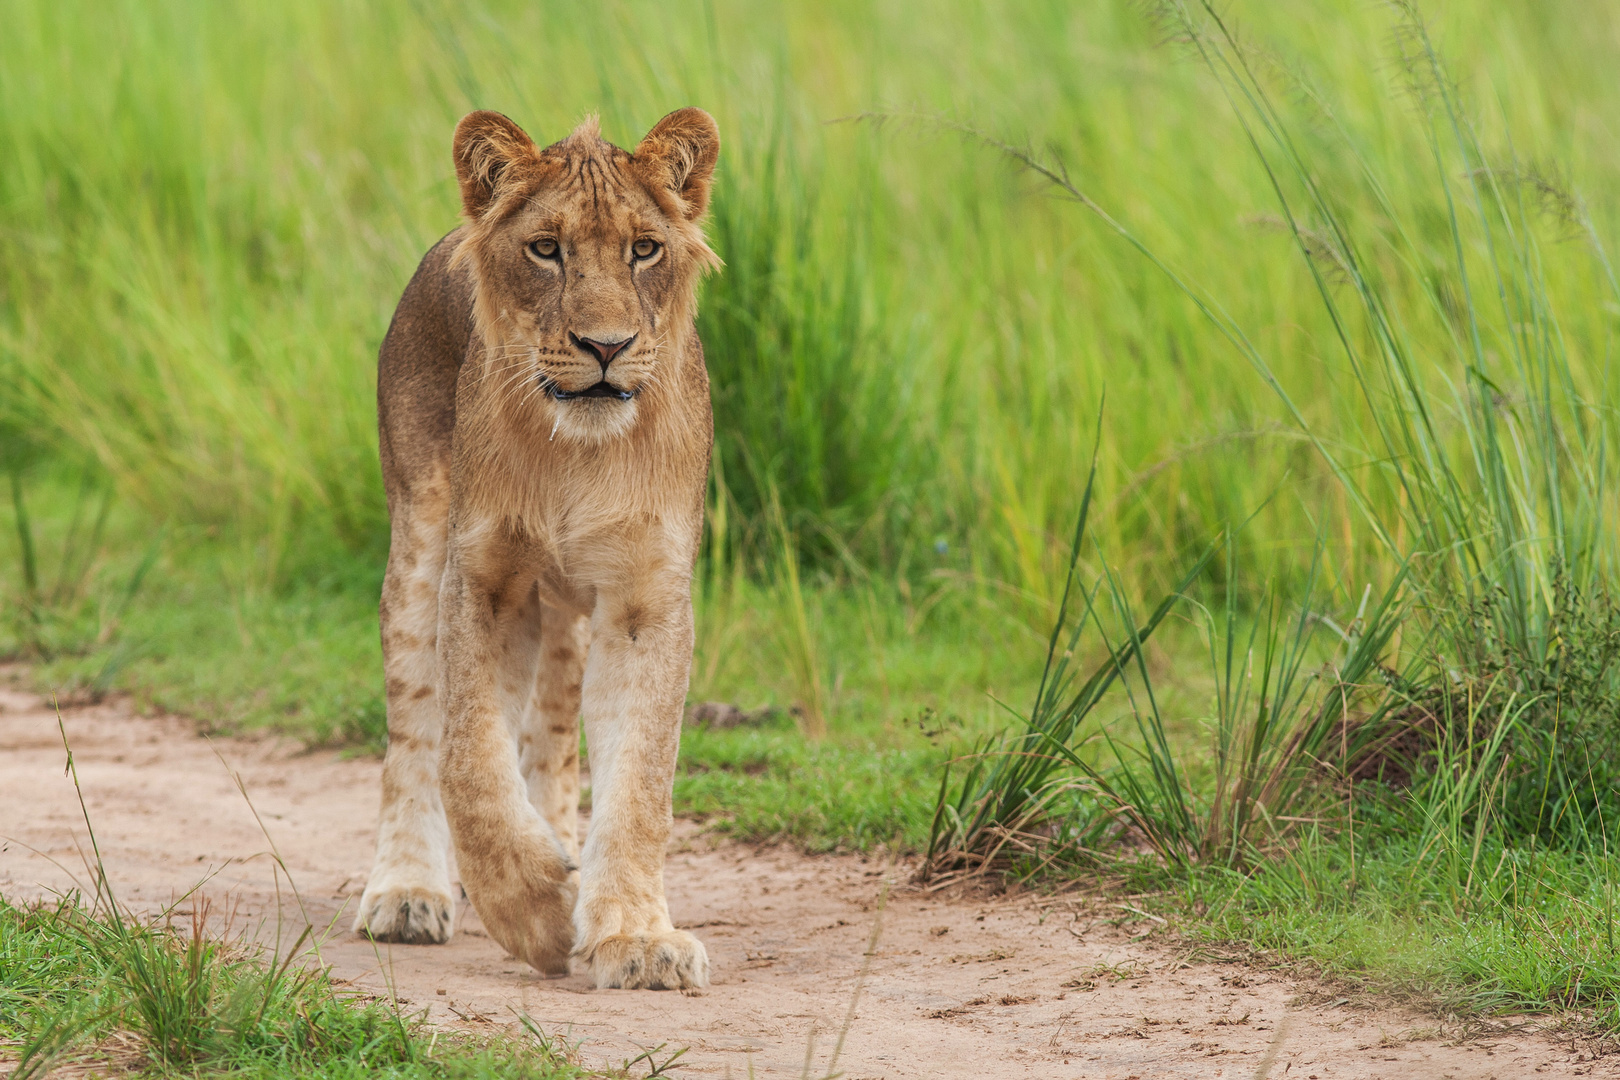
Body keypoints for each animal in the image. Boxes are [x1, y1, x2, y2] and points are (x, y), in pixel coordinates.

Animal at [358, 105, 725, 990]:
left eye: (644, 249)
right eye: (546, 249)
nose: (606, 346)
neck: (577, 458)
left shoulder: (643, 598)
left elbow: (639, 782)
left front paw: (632, 935)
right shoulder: (482, 581)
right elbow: (467, 762)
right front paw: (534, 912)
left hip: (567, 609)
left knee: (554, 734)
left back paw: (563, 849)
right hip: (419, 544)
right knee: (413, 731)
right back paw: (409, 892)